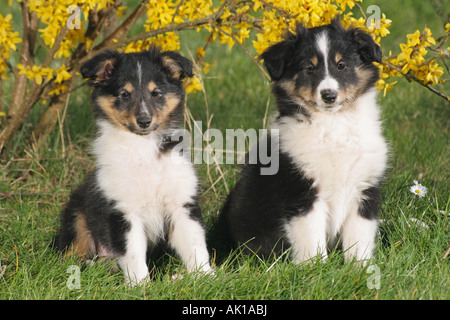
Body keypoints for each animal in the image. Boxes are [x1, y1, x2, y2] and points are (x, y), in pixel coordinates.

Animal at [53, 46, 213, 284]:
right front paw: (141, 286)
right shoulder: (123, 211)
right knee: (71, 252)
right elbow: (133, 253)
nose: (144, 121)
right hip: (77, 215)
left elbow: (196, 246)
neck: (143, 147)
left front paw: (207, 278)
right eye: (124, 95)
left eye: (156, 93)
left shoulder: (181, 204)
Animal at [218, 18, 386, 264]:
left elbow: (359, 239)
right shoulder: (301, 193)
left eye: (341, 65)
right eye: (310, 68)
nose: (329, 96)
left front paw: (361, 268)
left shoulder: (364, 188)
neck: (333, 124)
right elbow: (311, 241)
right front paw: (315, 268)